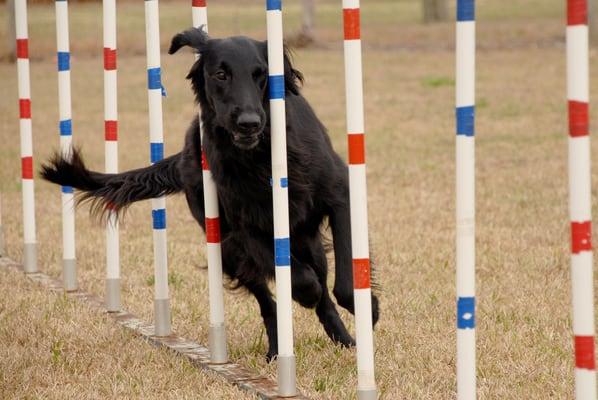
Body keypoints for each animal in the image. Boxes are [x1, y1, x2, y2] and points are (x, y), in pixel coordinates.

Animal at [41, 28, 380, 360]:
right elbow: (300, 280)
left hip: (306, 240)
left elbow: (344, 282)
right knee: (270, 300)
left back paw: (345, 340)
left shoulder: (339, 196)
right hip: (229, 247)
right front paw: (309, 295)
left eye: (261, 74)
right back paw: (277, 349)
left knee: (319, 286)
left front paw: (370, 310)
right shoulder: (245, 230)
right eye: (220, 74)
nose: (248, 123)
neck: (262, 154)